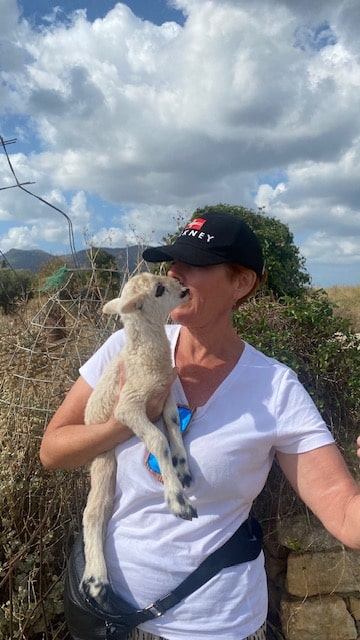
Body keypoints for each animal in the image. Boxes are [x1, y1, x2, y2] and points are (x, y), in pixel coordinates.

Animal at [80, 272, 197, 604]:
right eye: (158, 290)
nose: (185, 290)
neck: (147, 355)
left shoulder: (164, 393)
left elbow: (173, 424)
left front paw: (182, 467)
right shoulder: (128, 407)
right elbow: (157, 439)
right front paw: (178, 501)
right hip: (102, 455)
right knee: (93, 512)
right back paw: (97, 581)